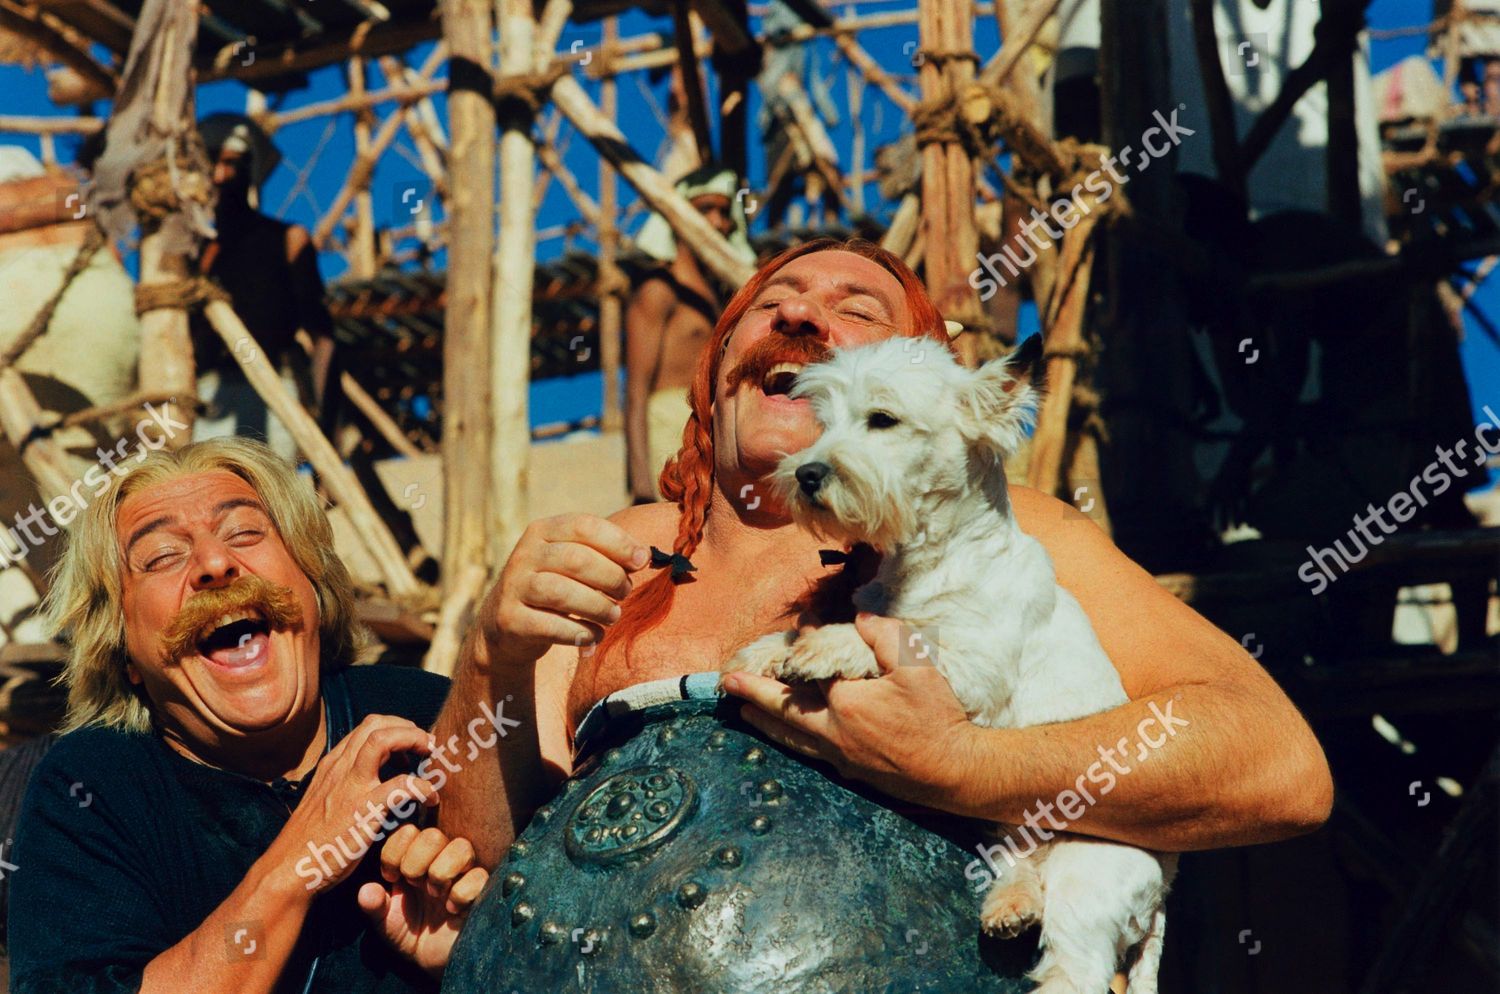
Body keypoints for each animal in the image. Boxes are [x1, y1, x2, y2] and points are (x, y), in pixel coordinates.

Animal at [732, 335, 1176, 994]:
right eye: (823, 421)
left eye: (882, 419)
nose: (807, 473)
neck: (931, 557)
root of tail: (1165, 887)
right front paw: (772, 646)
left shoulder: (974, 668)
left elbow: (905, 636)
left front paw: (826, 647)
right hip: (1010, 837)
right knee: (1021, 870)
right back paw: (1011, 905)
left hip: (1085, 879)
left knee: (1078, 971)